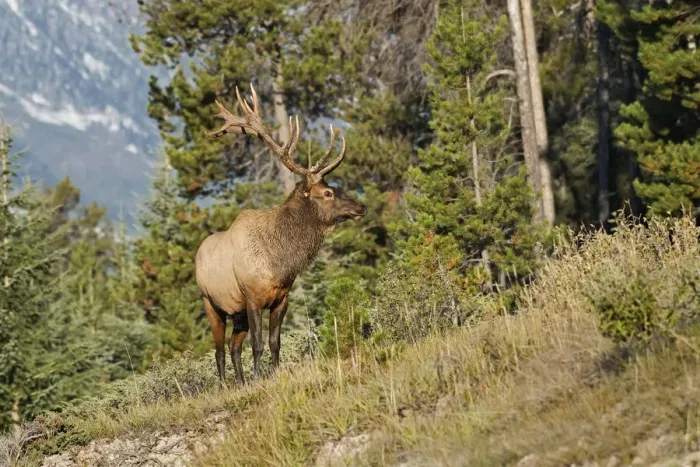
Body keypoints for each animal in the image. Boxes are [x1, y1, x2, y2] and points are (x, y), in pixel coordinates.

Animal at [196, 84, 367, 387]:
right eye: (327, 193)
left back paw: (239, 382)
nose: (361, 207)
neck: (280, 261)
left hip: (236, 311)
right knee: (219, 350)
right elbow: (258, 344)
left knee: (233, 346)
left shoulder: (281, 299)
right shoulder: (252, 297)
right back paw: (227, 385)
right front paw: (258, 377)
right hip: (210, 303)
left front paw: (273, 374)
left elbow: (275, 343)